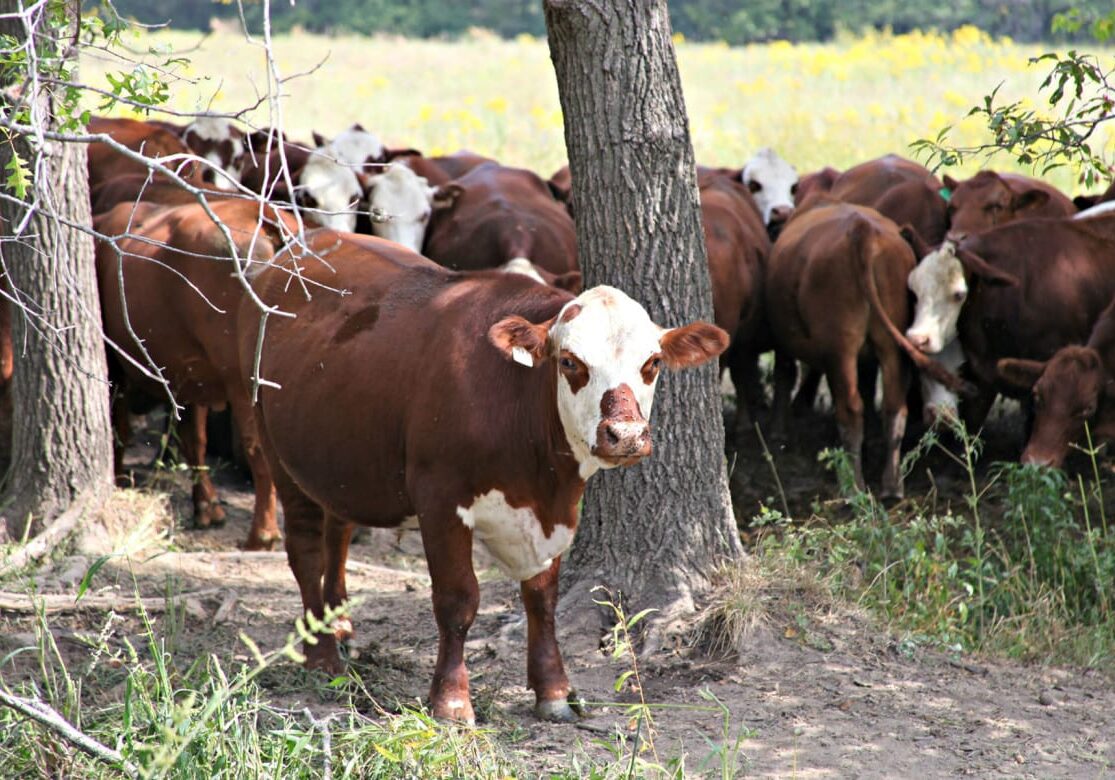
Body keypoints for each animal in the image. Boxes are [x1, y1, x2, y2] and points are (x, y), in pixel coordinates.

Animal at [96, 199, 300, 550]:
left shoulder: (117, 367)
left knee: (260, 451)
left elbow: (119, 429)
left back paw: (263, 534)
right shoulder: (191, 378)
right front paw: (206, 506)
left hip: (246, 384)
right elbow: (194, 440)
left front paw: (119, 479)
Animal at [239, 230, 728, 723]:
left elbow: (541, 599)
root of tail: (307, 241)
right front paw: (451, 701)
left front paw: (553, 690)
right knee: (306, 552)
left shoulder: (553, 512)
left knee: (337, 532)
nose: (625, 434)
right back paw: (320, 653)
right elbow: (458, 600)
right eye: (570, 361)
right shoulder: (440, 498)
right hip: (276, 445)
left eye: (653, 363)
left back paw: (338, 626)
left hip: (338, 459)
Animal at [766, 202, 961, 498]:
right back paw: (892, 485)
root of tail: (863, 231)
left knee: (850, 408)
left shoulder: (783, 341)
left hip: (840, 349)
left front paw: (777, 433)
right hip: (891, 345)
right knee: (894, 405)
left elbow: (784, 374)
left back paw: (853, 484)